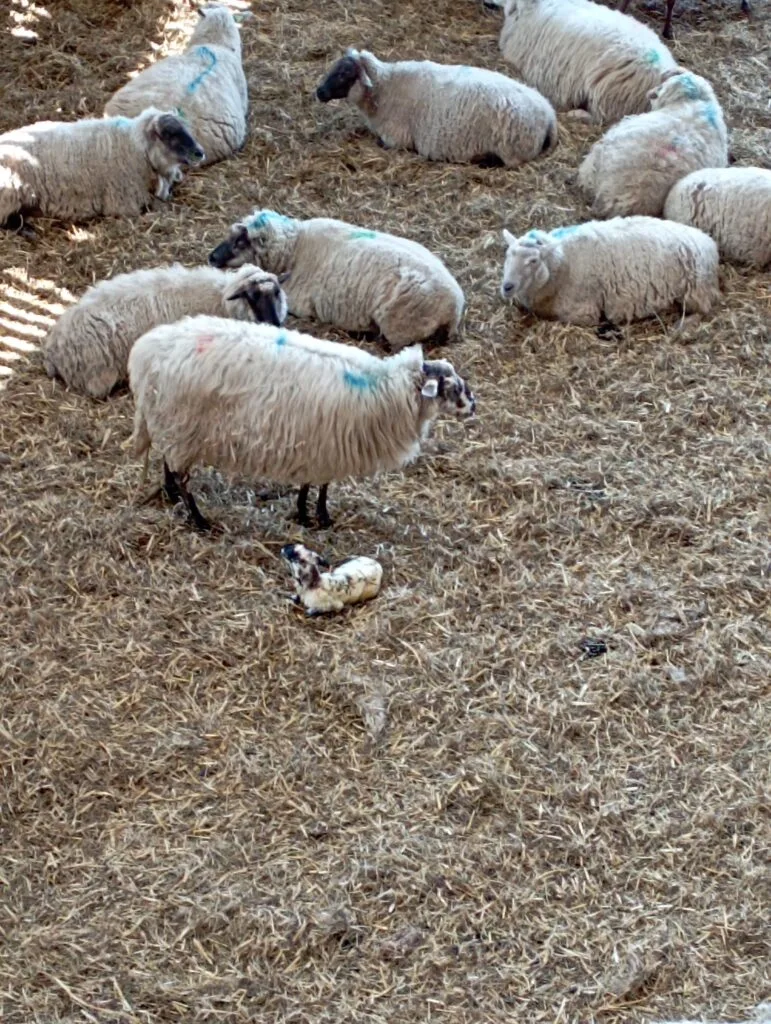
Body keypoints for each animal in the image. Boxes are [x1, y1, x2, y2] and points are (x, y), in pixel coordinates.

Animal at [42, 264, 287, 399]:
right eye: (252, 297)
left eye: (276, 292)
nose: (274, 323)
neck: (221, 297)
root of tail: (54, 348)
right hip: (99, 373)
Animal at [128, 317, 476, 532]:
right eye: (450, 387)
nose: (473, 405)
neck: (385, 389)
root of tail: (145, 351)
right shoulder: (327, 445)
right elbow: (321, 486)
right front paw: (317, 516)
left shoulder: (319, 444)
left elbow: (315, 484)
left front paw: (308, 512)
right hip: (181, 426)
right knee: (181, 476)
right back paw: (199, 519)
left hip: (172, 425)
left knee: (168, 462)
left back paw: (171, 494)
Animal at [315, 49, 558, 167]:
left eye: (345, 73)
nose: (319, 92)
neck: (386, 85)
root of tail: (549, 114)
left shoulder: (397, 138)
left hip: (512, 148)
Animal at [500, 216, 720, 326]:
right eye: (507, 255)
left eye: (533, 260)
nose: (507, 287)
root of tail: (707, 241)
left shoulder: (583, 311)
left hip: (694, 290)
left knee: (703, 309)